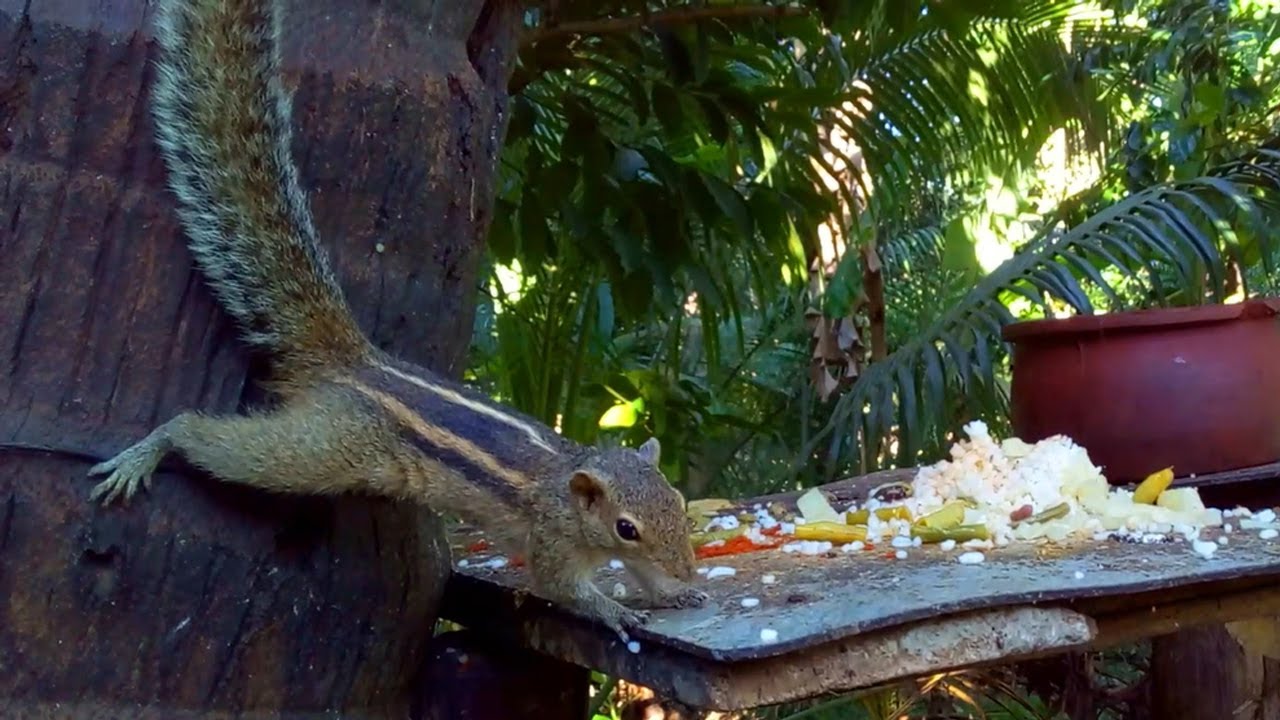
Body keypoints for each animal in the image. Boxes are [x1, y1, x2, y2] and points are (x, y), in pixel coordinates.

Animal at [86, 0, 708, 643]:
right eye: (626, 528)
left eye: (677, 502)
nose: (688, 569)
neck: (570, 479)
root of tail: (354, 364)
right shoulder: (552, 539)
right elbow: (565, 590)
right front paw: (619, 612)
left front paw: (672, 593)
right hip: (327, 447)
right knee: (224, 443)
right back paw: (155, 446)